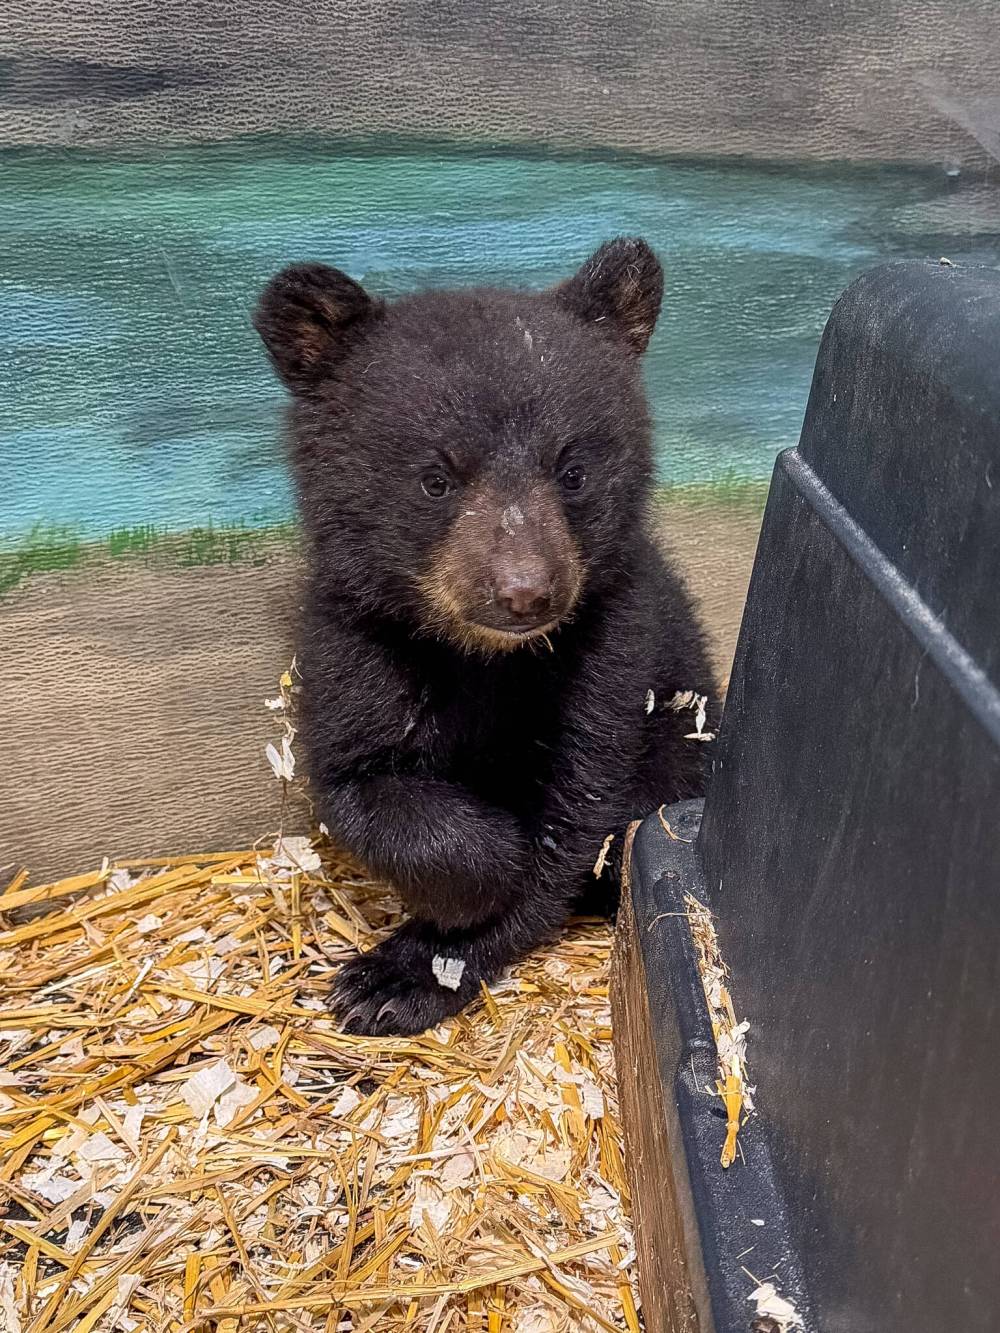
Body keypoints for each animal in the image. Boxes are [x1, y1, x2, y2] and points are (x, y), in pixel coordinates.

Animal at [254, 237, 718, 1036]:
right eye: (436, 478)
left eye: (573, 470)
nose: (525, 591)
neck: (489, 660)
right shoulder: (356, 642)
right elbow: (356, 780)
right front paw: (485, 860)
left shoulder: (610, 656)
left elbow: (578, 817)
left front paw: (405, 974)